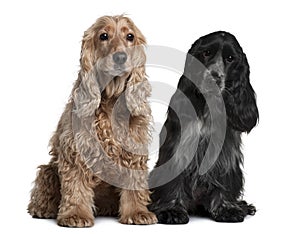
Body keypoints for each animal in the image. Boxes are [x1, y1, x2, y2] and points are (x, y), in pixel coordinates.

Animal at [28, 14, 157, 227]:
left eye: (130, 36)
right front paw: (75, 215)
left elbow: (134, 184)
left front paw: (137, 212)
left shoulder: (133, 150)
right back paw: (43, 209)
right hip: (48, 170)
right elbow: (75, 186)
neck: (111, 101)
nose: (120, 57)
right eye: (103, 36)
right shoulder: (76, 151)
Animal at [149, 30, 258, 223]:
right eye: (206, 53)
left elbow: (224, 179)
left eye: (230, 58)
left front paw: (226, 208)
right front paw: (172, 210)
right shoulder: (180, 146)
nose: (214, 77)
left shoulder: (225, 151)